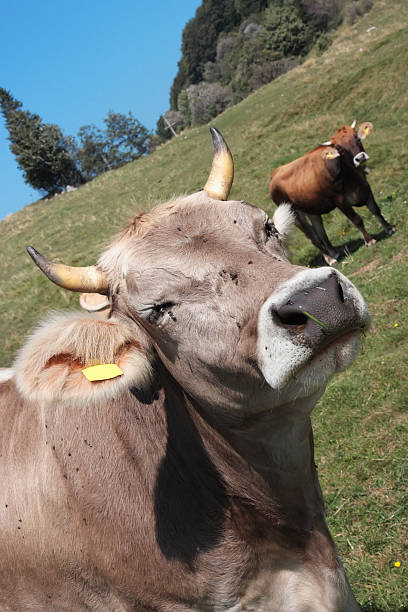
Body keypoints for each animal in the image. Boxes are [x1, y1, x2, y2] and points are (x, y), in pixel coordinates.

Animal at [268, 120, 396, 266]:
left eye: (357, 138)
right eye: (340, 149)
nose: (360, 158)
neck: (351, 176)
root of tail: (275, 173)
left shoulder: (365, 186)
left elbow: (375, 209)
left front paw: (389, 228)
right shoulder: (339, 200)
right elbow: (356, 219)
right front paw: (369, 240)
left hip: (310, 207)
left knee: (320, 232)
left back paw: (334, 252)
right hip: (294, 213)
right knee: (312, 236)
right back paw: (330, 259)